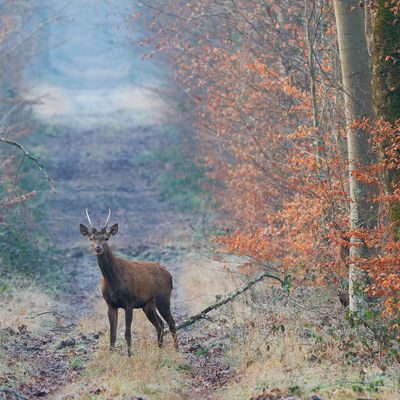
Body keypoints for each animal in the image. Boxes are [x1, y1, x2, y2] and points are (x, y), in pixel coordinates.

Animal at [79, 209, 178, 356]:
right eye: (91, 238)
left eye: (106, 238)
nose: (98, 248)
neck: (113, 280)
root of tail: (169, 274)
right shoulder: (110, 304)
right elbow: (112, 334)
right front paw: (111, 355)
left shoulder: (129, 302)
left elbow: (127, 333)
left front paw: (130, 355)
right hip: (148, 304)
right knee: (160, 324)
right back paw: (160, 350)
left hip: (163, 297)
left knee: (171, 322)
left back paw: (177, 350)